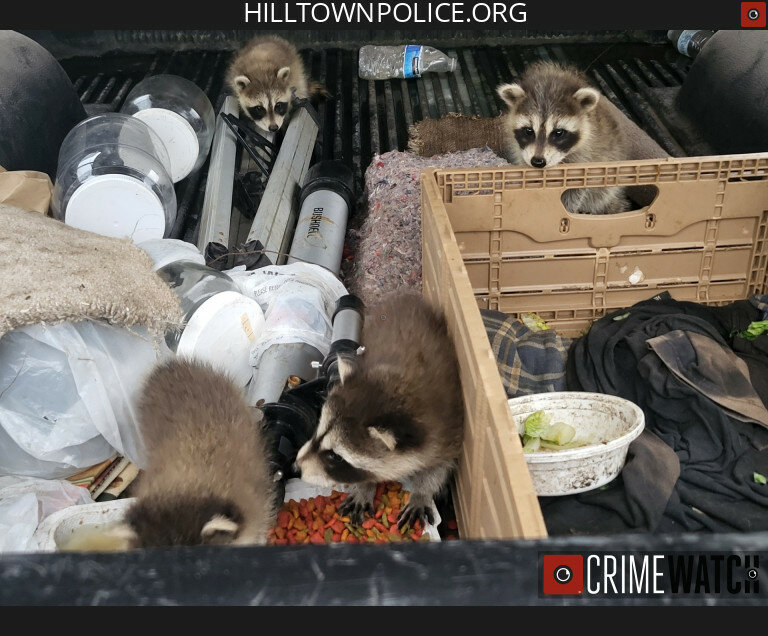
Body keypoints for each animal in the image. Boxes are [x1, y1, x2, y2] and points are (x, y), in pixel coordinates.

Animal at [292, 292, 462, 528]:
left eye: (336, 456)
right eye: (318, 430)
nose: (296, 467)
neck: (398, 391)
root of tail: (406, 297)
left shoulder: (446, 429)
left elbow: (439, 467)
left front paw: (422, 493)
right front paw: (365, 487)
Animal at [496, 62, 632, 216]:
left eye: (558, 132)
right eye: (529, 130)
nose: (538, 162)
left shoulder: (586, 159)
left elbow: (573, 191)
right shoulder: (523, 156)